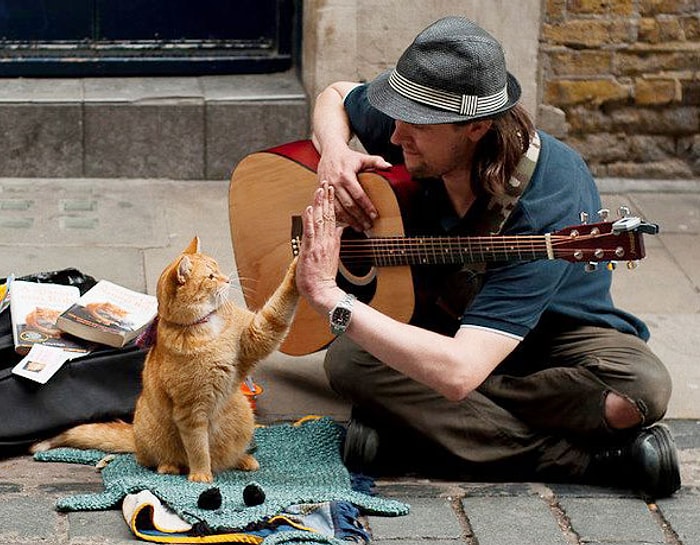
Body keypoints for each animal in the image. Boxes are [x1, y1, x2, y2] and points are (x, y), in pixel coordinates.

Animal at [32, 236, 298, 482]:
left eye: (218, 269)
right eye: (211, 276)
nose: (228, 280)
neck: (206, 325)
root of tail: (134, 435)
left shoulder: (259, 335)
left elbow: (278, 309)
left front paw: (297, 266)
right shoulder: (190, 411)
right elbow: (198, 449)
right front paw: (201, 475)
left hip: (243, 413)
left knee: (226, 457)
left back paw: (242, 459)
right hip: (154, 437)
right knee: (157, 459)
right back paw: (170, 467)